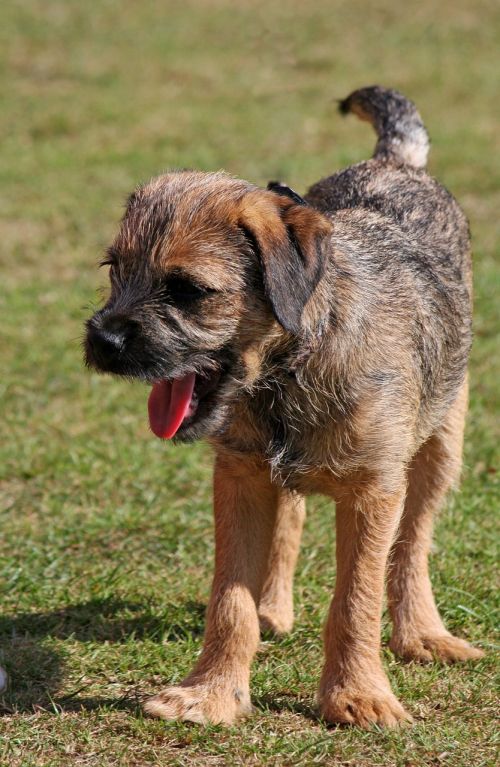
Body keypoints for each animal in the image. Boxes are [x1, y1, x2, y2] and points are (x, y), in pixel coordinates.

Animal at [84, 87, 482, 728]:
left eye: (188, 290)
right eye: (114, 269)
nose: (103, 338)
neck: (292, 368)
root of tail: (394, 162)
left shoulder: (375, 490)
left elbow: (356, 600)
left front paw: (356, 695)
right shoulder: (240, 476)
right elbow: (229, 601)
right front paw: (212, 692)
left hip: (442, 442)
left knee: (413, 545)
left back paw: (422, 634)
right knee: (290, 519)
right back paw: (274, 608)